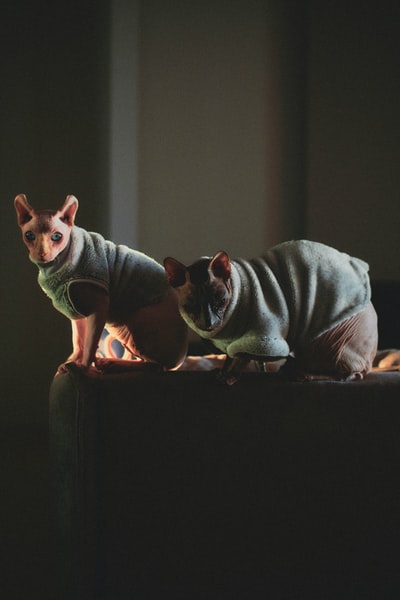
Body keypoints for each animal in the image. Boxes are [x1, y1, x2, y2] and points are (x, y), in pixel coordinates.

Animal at [16, 195, 188, 372]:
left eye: (57, 236)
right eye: (29, 235)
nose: (41, 253)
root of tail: (179, 360)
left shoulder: (100, 307)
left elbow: (90, 343)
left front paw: (83, 367)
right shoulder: (74, 311)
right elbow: (79, 341)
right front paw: (73, 361)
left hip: (137, 320)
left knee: (155, 365)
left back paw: (112, 363)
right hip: (123, 330)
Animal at [164, 240, 380, 384]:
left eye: (221, 301)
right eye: (191, 307)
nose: (208, 323)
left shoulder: (262, 336)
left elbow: (241, 358)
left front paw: (229, 376)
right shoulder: (232, 343)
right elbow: (230, 357)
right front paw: (221, 371)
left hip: (326, 342)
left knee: (350, 374)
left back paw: (302, 374)